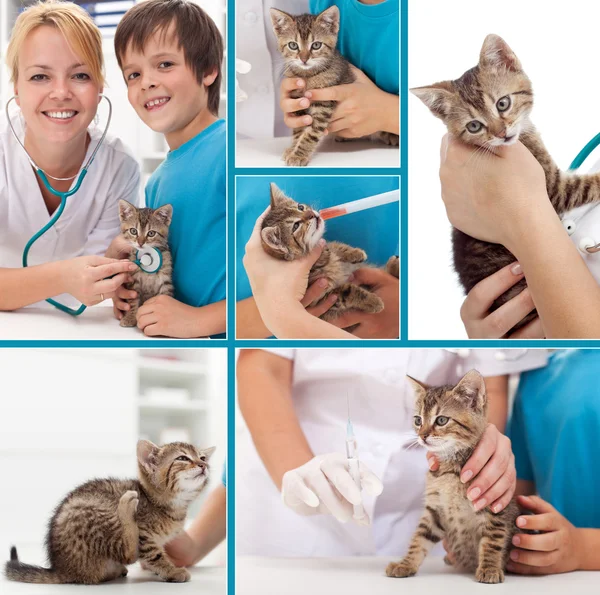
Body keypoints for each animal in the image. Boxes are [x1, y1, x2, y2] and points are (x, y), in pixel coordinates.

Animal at [4, 440, 216, 584]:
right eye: (182, 458)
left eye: (202, 457)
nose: (204, 465)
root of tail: (62, 568)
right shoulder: (145, 537)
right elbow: (153, 556)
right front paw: (172, 571)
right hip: (95, 511)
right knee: (127, 553)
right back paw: (126, 506)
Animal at [258, 184, 396, 326]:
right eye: (296, 226)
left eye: (300, 207)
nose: (312, 214)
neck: (323, 259)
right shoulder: (324, 298)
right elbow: (348, 291)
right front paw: (373, 302)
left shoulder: (328, 246)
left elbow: (337, 246)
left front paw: (356, 253)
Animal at [270, 6, 396, 168]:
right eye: (293, 45)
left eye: (316, 45)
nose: (304, 59)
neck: (308, 76)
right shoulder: (298, 102)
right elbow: (299, 130)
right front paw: (293, 148)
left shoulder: (323, 105)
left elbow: (311, 134)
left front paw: (299, 154)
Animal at [390, 370, 524, 584]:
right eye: (418, 420)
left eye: (441, 420)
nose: (422, 436)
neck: (449, 470)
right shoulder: (435, 509)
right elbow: (419, 538)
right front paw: (406, 564)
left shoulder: (494, 506)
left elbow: (492, 540)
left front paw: (489, 568)